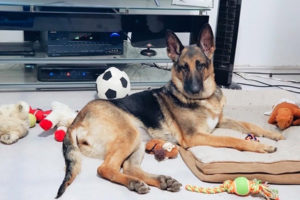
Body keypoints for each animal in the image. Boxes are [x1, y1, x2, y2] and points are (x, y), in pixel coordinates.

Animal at [55, 24, 284, 198]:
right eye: (183, 67)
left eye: (200, 65)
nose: (193, 90)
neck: (204, 99)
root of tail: (76, 121)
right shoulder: (195, 137)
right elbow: (232, 140)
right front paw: (261, 147)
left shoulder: (220, 121)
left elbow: (248, 124)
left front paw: (274, 135)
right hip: (129, 134)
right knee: (105, 168)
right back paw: (134, 183)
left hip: (138, 139)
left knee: (129, 168)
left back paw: (159, 181)